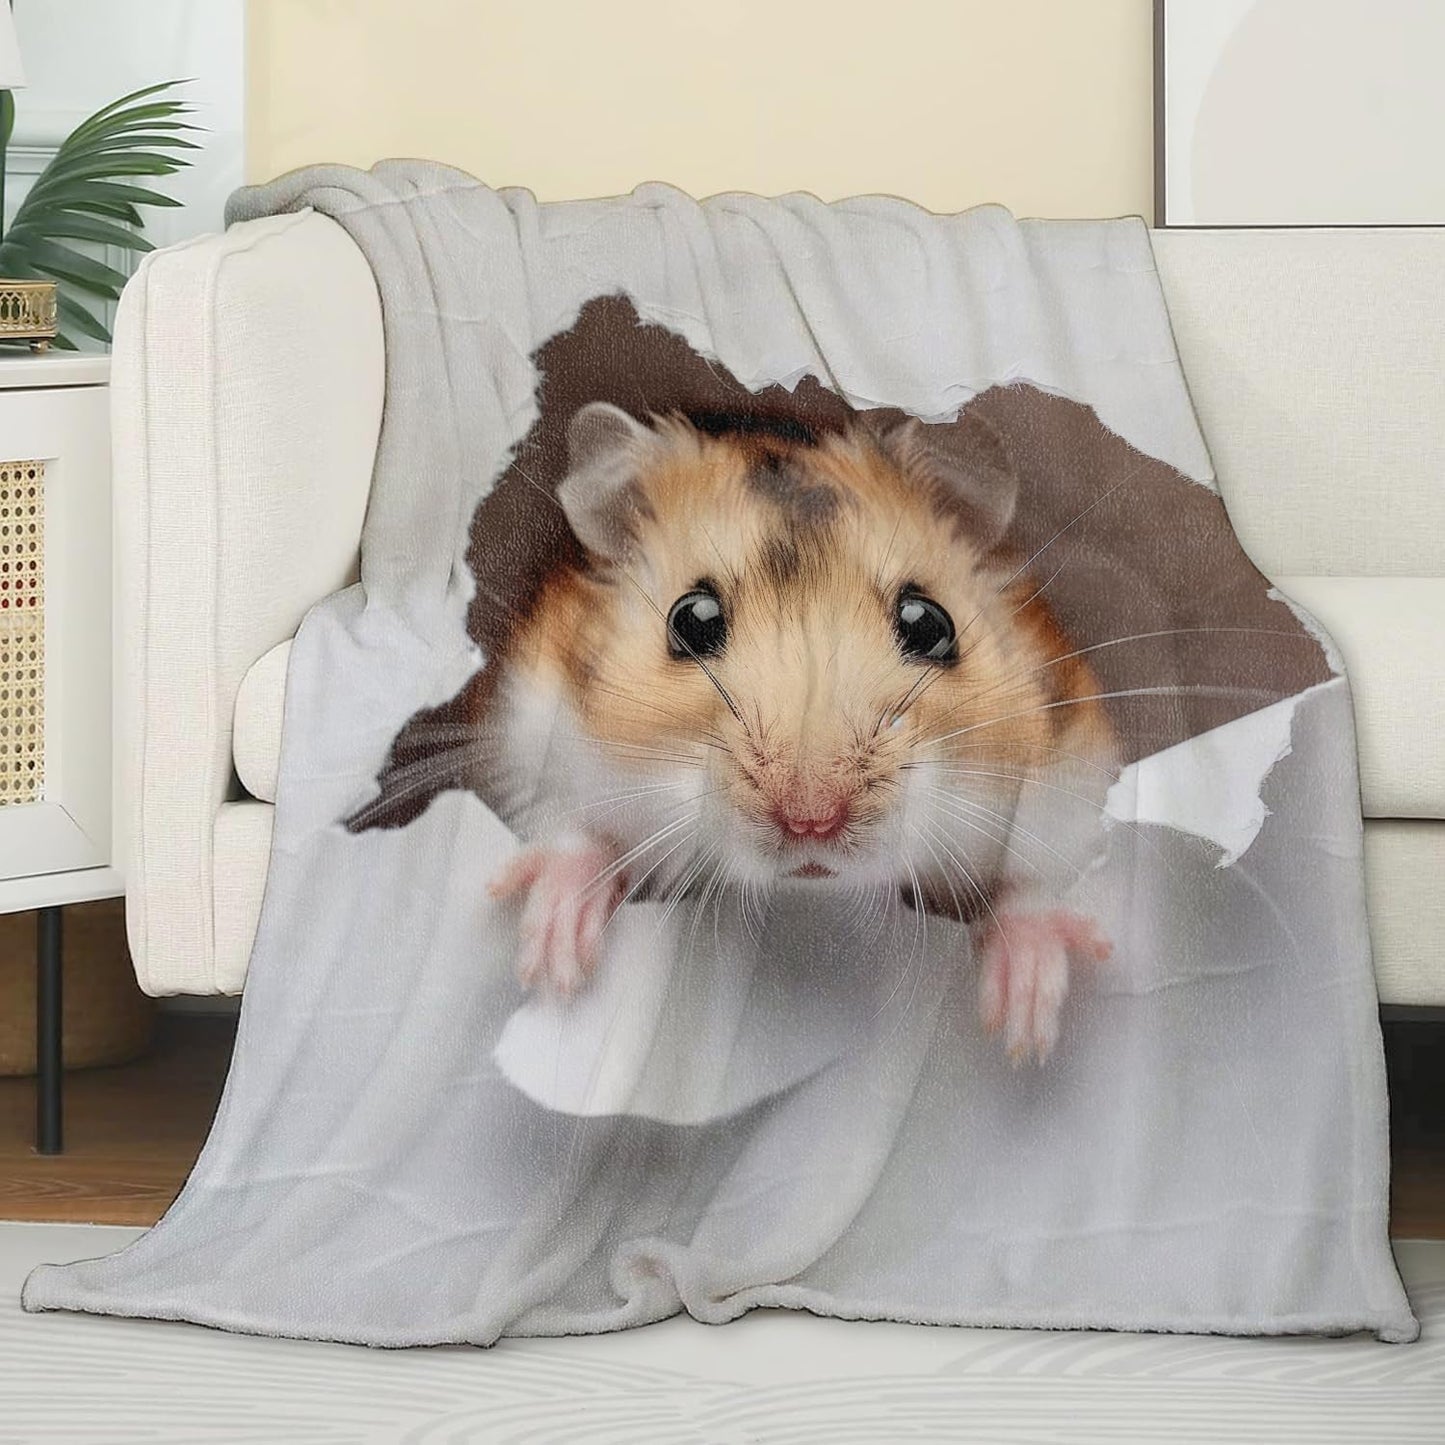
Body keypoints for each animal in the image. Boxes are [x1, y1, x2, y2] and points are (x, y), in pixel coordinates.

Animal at [483, 402, 1117, 1063]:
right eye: (691, 620)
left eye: (929, 623)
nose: (812, 822)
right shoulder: (530, 722)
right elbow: (566, 828)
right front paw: (553, 970)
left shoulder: (1074, 762)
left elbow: (1041, 876)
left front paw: (1026, 1034)